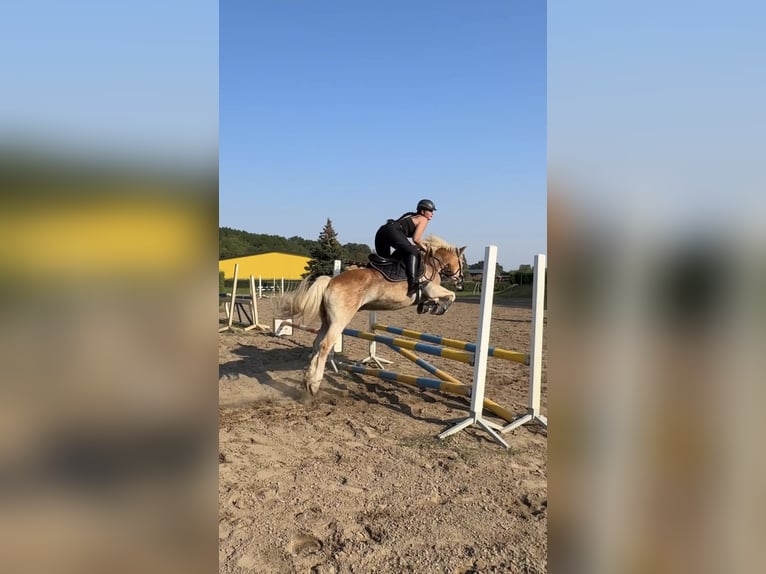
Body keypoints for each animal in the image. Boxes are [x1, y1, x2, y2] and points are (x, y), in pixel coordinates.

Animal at [278, 236, 468, 398]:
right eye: (462, 261)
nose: (460, 280)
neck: (431, 263)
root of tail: (331, 281)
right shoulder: (431, 289)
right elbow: (450, 296)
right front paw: (439, 308)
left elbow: (440, 298)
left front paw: (429, 306)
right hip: (339, 321)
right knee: (325, 346)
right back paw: (315, 384)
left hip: (327, 321)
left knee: (316, 344)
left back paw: (307, 380)